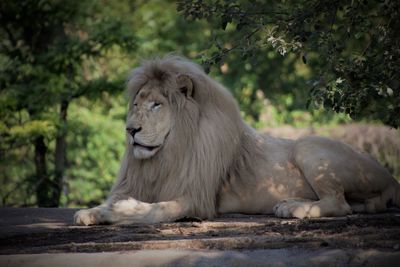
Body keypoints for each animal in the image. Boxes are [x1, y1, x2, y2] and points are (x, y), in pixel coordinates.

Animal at [73, 56, 398, 226]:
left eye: (157, 105)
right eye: (137, 105)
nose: (130, 130)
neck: (167, 153)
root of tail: (391, 177)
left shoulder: (196, 198)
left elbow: (157, 209)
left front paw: (120, 211)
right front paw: (91, 211)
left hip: (308, 146)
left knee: (340, 204)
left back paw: (295, 208)